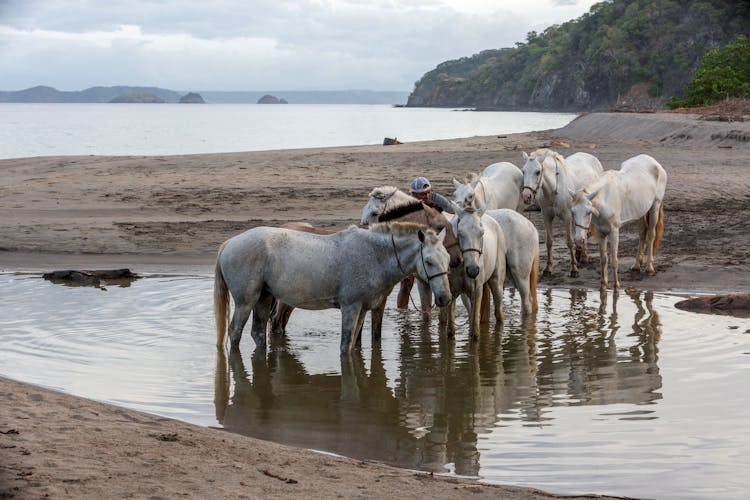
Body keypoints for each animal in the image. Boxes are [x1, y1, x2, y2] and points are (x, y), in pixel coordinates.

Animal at [217, 223, 452, 356]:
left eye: (448, 259)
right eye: (429, 261)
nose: (445, 298)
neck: (375, 255)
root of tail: (228, 243)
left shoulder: (362, 310)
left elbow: (353, 344)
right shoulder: (350, 308)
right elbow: (345, 345)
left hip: (264, 298)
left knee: (257, 332)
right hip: (246, 302)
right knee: (235, 331)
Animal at [524, 148, 604, 278]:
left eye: (537, 172)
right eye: (523, 171)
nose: (526, 196)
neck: (553, 189)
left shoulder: (567, 216)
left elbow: (569, 241)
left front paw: (574, 269)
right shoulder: (546, 216)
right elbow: (549, 242)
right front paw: (548, 268)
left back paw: (583, 256)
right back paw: (579, 255)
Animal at [572, 154, 668, 292]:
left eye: (588, 212)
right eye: (572, 212)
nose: (579, 241)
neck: (605, 199)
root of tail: (654, 162)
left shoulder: (614, 231)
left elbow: (614, 260)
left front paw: (616, 287)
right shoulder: (601, 233)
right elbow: (603, 259)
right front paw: (603, 286)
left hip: (654, 207)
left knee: (651, 236)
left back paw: (649, 268)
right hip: (641, 211)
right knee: (642, 234)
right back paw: (636, 265)